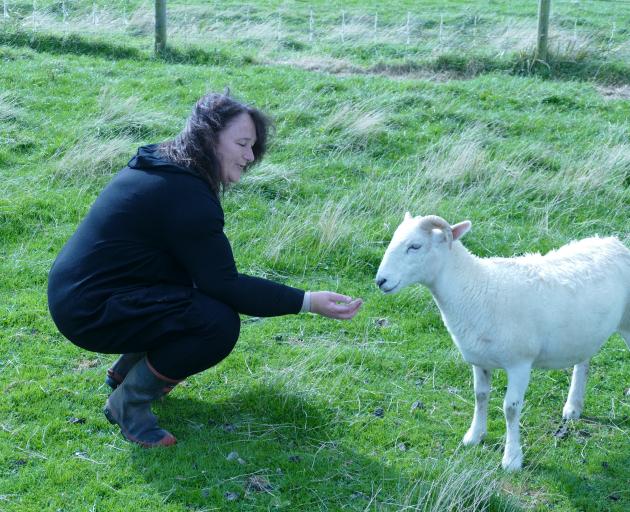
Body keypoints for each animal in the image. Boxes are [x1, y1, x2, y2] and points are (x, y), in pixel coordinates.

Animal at [378, 213, 628, 472]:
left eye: (415, 246)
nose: (380, 280)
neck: (473, 288)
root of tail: (613, 242)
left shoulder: (520, 364)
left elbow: (511, 408)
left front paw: (512, 458)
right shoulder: (479, 360)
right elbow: (480, 395)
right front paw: (474, 436)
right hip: (583, 332)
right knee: (583, 363)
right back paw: (573, 407)